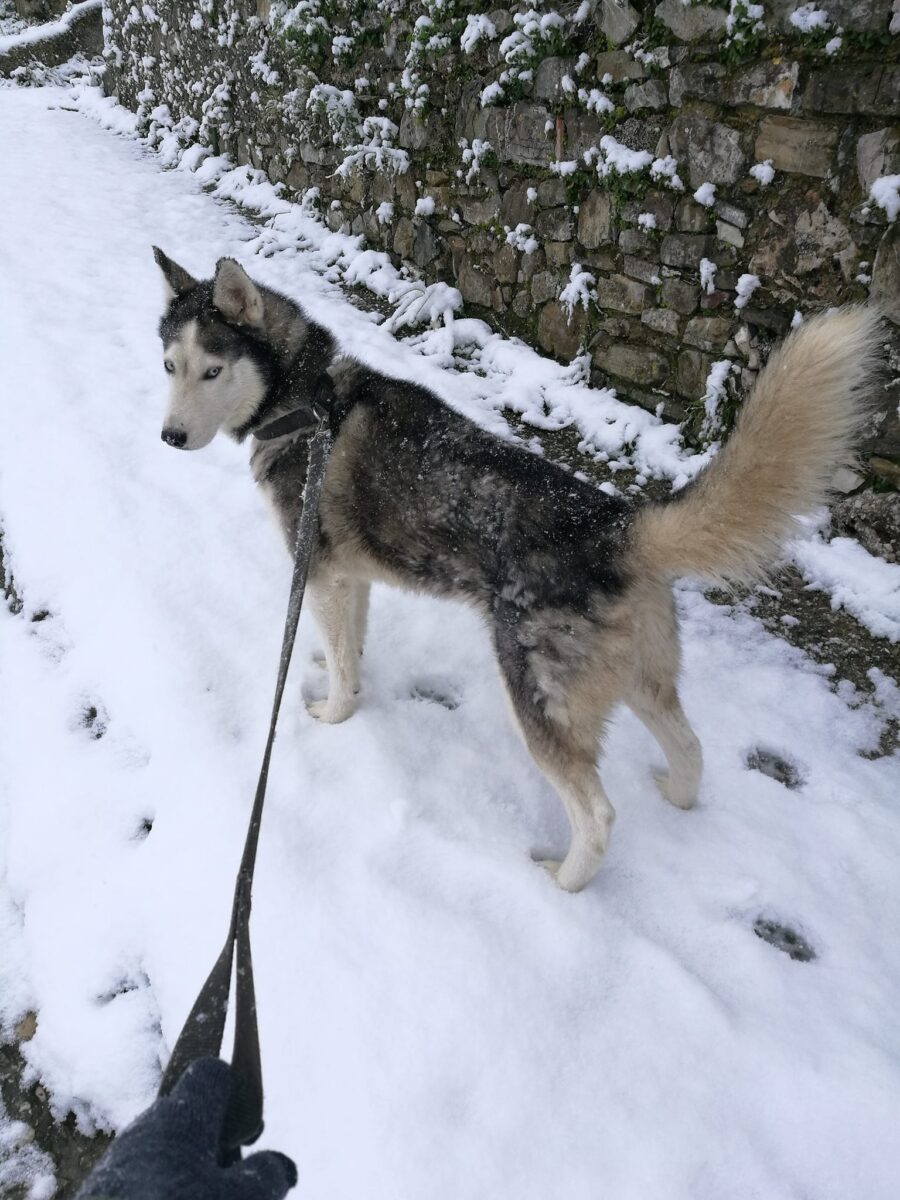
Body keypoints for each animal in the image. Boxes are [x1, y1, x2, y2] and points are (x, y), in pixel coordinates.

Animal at [153, 248, 883, 892]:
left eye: (212, 371)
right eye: (169, 365)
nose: (170, 438)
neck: (306, 400)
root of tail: (615, 525)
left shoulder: (321, 570)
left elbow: (340, 663)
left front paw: (333, 714)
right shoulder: (350, 578)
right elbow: (349, 649)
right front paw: (338, 676)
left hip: (536, 694)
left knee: (597, 812)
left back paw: (563, 881)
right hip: (643, 677)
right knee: (691, 745)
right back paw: (677, 798)